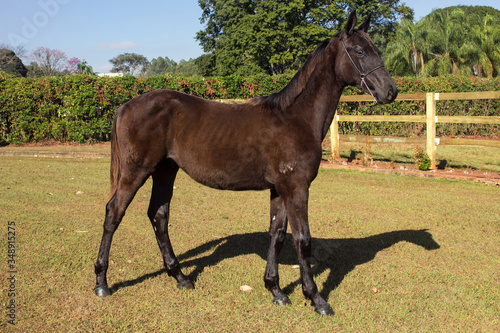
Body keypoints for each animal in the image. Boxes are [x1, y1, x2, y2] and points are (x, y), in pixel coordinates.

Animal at [94, 10, 398, 316]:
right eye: (359, 51)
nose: (391, 91)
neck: (295, 118)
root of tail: (125, 106)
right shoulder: (296, 189)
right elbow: (303, 240)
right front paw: (316, 299)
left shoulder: (280, 189)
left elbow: (277, 235)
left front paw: (276, 290)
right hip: (135, 172)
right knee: (114, 213)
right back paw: (102, 283)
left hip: (165, 171)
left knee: (158, 216)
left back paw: (180, 277)